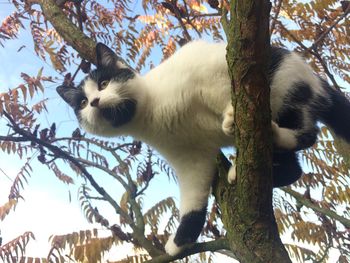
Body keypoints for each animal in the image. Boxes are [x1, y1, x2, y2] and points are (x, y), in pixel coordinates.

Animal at [56, 40, 350, 256]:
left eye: (104, 84)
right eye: (82, 103)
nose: (94, 102)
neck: (152, 114)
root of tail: (318, 81)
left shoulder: (207, 67)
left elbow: (226, 85)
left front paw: (230, 115)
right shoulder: (189, 157)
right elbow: (193, 197)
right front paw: (179, 242)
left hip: (287, 89)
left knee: (308, 134)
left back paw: (267, 135)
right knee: (294, 169)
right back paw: (241, 172)